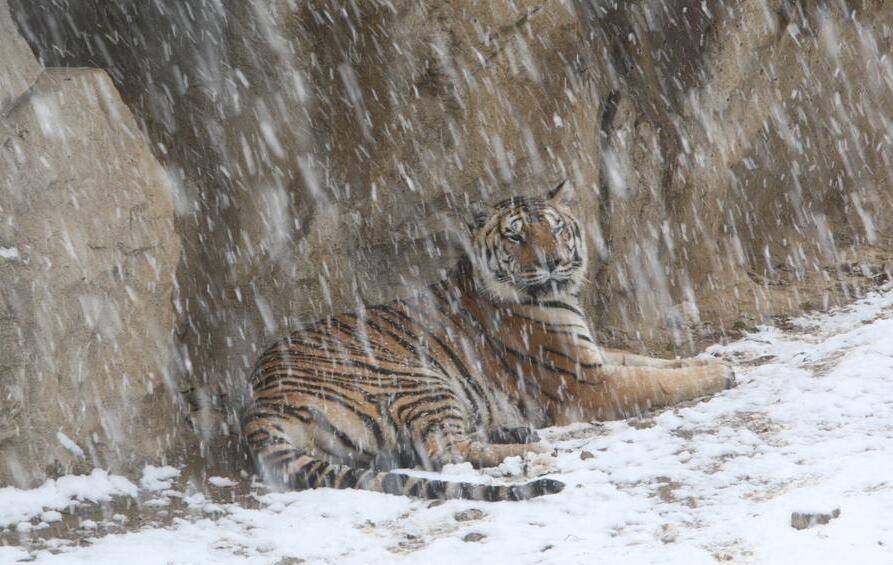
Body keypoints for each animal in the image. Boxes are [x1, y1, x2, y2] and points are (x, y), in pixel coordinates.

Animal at [240, 180, 736, 498]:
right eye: (516, 236)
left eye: (555, 227)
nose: (552, 261)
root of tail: (258, 403)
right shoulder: (587, 383)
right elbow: (658, 382)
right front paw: (721, 373)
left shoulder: (595, 355)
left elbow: (652, 361)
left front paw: (711, 359)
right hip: (417, 378)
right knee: (443, 453)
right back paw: (536, 448)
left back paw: (516, 429)